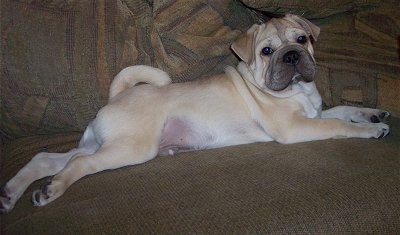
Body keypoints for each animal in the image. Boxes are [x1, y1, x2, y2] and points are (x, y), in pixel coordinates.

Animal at [0, 13, 390, 214]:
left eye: (303, 39)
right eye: (267, 51)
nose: (293, 55)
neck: (297, 92)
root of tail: (118, 95)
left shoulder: (314, 114)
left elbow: (343, 108)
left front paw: (373, 114)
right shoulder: (295, 127)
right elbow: (338, 123)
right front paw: (368, 132)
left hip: (101, 142)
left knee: (48, 158)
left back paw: (13, 193)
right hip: (131, 148)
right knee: (78, 165)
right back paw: (51, 190)